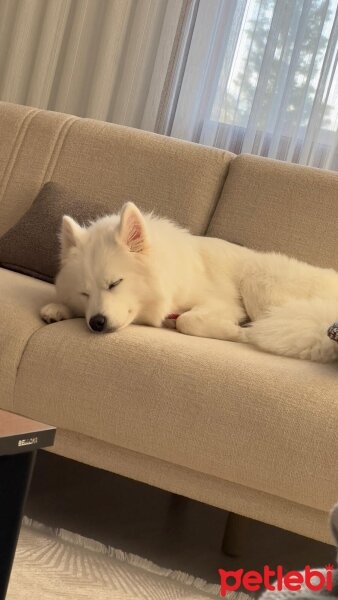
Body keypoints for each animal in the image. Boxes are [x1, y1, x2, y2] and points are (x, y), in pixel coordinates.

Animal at [41, 202, 338, 360]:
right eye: (84, 293)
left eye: (115, 283)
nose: (97, 323)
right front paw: (56, 309)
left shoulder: (222, 303)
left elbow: (188, 320)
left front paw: (235, 331)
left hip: (260, 278)